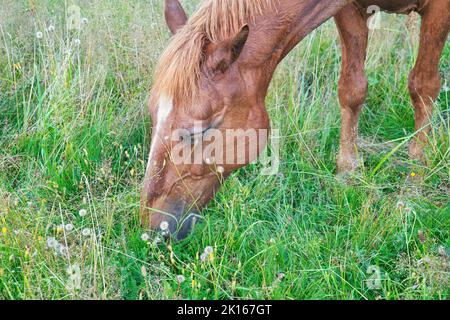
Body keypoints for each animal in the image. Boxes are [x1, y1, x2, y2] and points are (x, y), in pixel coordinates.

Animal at [142, 0, 450, 240]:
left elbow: (422, 86)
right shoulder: (349, 9)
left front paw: (414, 183)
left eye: (201, 129)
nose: (154, 228)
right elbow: (352, 88)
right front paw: (347, 173)